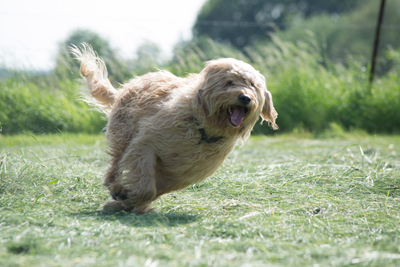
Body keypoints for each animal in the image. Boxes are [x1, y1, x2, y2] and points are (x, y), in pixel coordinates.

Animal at [70, 45, 276, 215]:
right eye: (230, 82)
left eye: (252, 85)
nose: (245, 98)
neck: (203, 131)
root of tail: (127, 87)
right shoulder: (145, 145)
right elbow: (146, 187)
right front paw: (122, 197)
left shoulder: (177, 176)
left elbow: (150, 192)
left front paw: (125, 203)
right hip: (122, 135)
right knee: (115, 164)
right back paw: (114, 185)